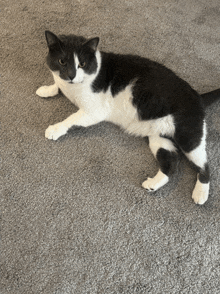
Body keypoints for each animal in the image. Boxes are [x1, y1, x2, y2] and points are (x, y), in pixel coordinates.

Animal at [36, 30, 220, 204]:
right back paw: (153, 184)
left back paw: (200, 194)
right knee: (171, 163)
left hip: (189, 136)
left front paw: (55, 129)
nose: (71, 75)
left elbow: (71, 119)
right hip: (159, 137)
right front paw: (46, 89)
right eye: (62, 61)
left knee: (204, 167)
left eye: (82, 64)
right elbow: (58, 85)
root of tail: (198, 96)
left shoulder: (94, 111)